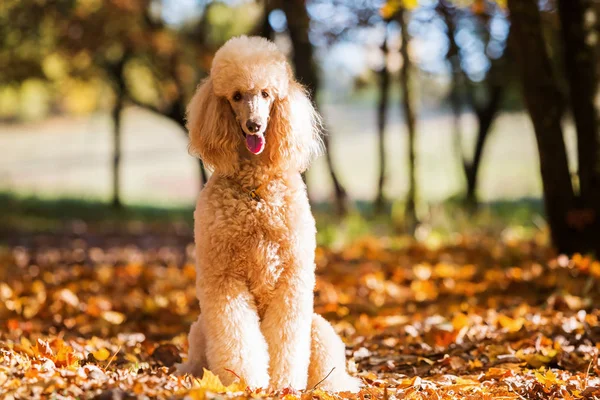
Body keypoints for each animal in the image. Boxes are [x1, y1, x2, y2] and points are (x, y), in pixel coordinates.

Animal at [176, 36, 358, 392]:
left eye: (265, 94)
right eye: (235, 96)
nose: (254, 125)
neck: (256, 192)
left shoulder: (291, 278)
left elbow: (284, 341)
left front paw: (284, 385)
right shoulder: (225, 279)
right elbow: (239, 337)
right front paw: (247, 382)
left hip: (319, 328)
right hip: (200, 330)